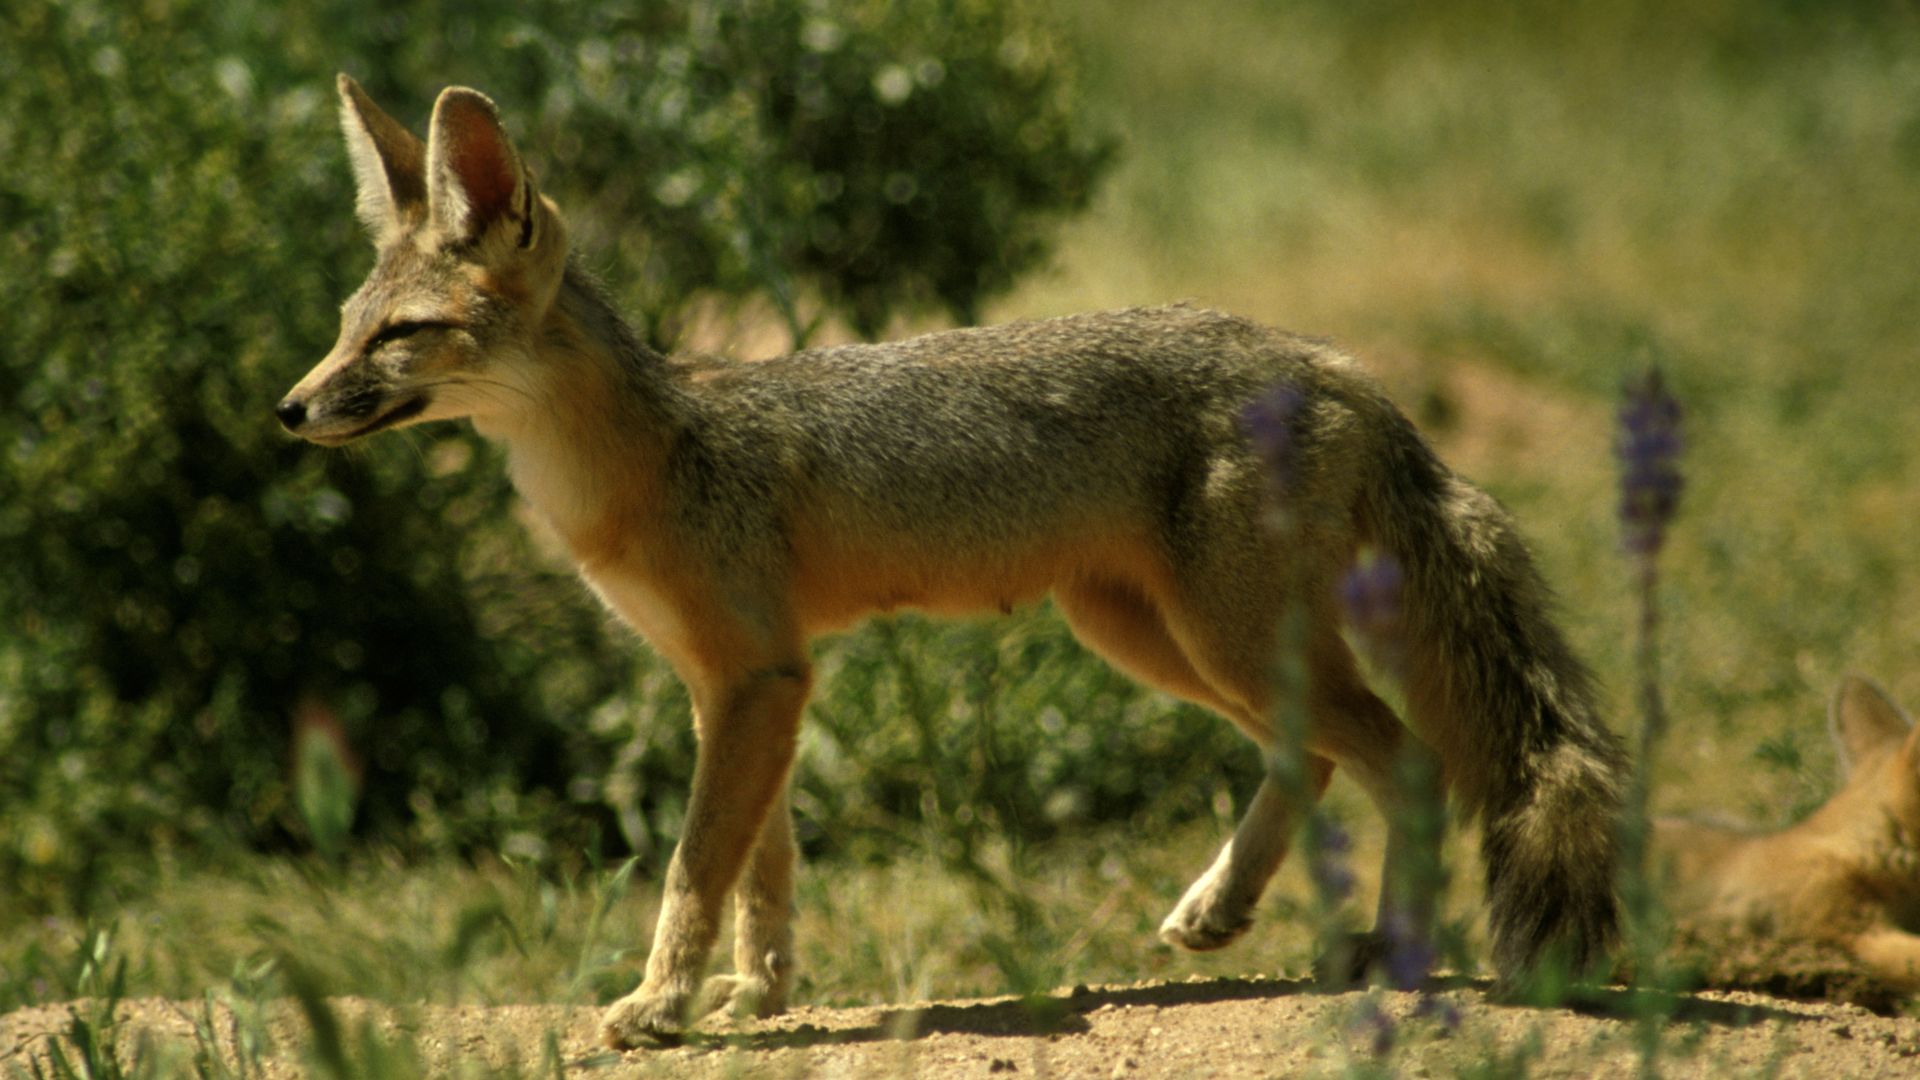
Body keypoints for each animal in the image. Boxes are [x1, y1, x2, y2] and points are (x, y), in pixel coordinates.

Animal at [277, 76, 1630, 1048]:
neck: (645, 460)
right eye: (346, 328)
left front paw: (659, 1008)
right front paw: (756, 995)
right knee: (1310, 755)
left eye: (401, 338)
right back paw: (1220, 910)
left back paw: (1390, 956)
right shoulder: (744, 684)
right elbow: (763, 866)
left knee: (1406, 760)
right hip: (1149, 638)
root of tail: (1338, 362)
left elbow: (693, 867)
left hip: (1216, 639)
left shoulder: (757, 679)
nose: (290, 411)